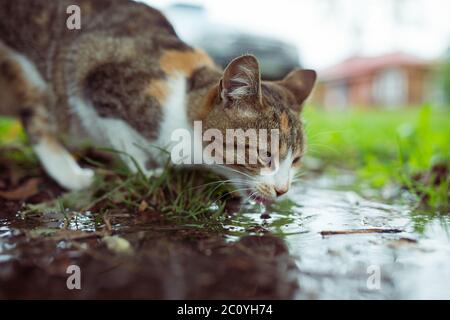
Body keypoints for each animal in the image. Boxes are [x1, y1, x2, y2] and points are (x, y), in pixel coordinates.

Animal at [0, 0, 316, 204]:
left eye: (296, 160)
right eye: (265, 154)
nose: (283, 190)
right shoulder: (95, 81)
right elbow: (124, 140)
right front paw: (147, 171)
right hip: (29, 71)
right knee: (37, 119)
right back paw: (70, 174)